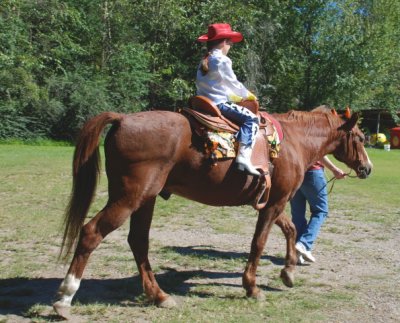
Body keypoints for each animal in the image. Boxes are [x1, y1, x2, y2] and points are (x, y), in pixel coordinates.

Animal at [52, 107, 372, 318]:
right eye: (360, 137)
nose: (367, 168)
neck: (293, 142)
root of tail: (123, 119)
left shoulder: (273, 202)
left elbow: (291, 229)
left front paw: (289, 271)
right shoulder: (274, 204)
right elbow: (259, 243)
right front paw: (252, 287)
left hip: (145, 200)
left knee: (138, 242)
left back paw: (159, 295)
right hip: (130, 198)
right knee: (92, 233)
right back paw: (65, 298)